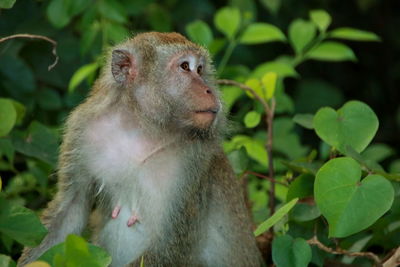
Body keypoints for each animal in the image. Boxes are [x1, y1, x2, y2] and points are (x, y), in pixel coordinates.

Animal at [18, 32, 262, 266]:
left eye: (200, 70)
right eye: (185, 67)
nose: (209, 89)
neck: (140, 127)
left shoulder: (193, 161)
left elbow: (169, 247)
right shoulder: (81, 129)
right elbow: (70, 208)